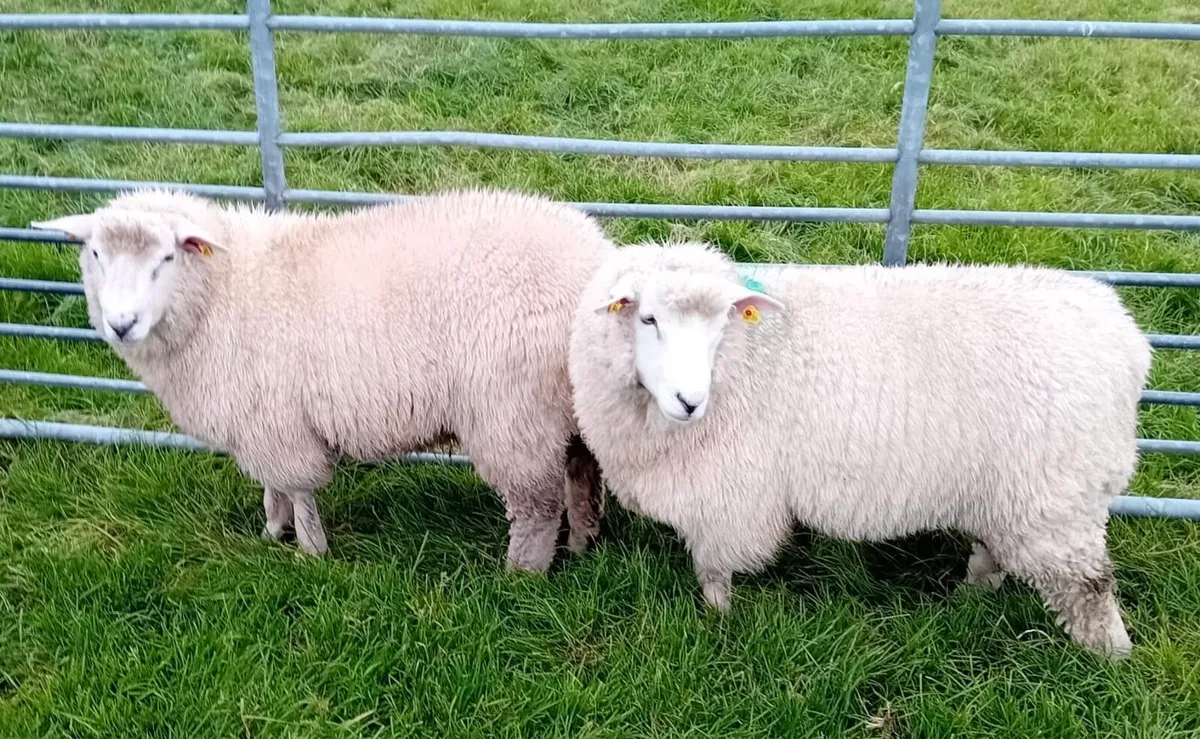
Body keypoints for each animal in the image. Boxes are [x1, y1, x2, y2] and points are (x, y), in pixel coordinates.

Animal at [31, 187, 613, 572]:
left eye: (167, 257)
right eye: (95, 253)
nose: (121, 323)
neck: (224, 289)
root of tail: (598, 259)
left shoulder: (277, 422)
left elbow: (298, 486)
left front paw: (310, 551)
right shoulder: (258, 422)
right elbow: (272, 485)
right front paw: (272, 530)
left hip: (513, 413)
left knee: (538, 503)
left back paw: (522, 574)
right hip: (567, 404)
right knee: (582, 469)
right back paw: (583, 542)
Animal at [568, 241, 1151, 658]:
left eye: (720, 326)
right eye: (648, 319)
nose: (690, 402)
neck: (750, 357)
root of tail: (1128, 340)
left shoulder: (728, 496)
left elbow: (713, 570)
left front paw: (719, 621)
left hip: (1056, 500)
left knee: (1090, 586)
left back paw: (1109, 661)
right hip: (1010, 495)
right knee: (995, 549)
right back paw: (970, 598)